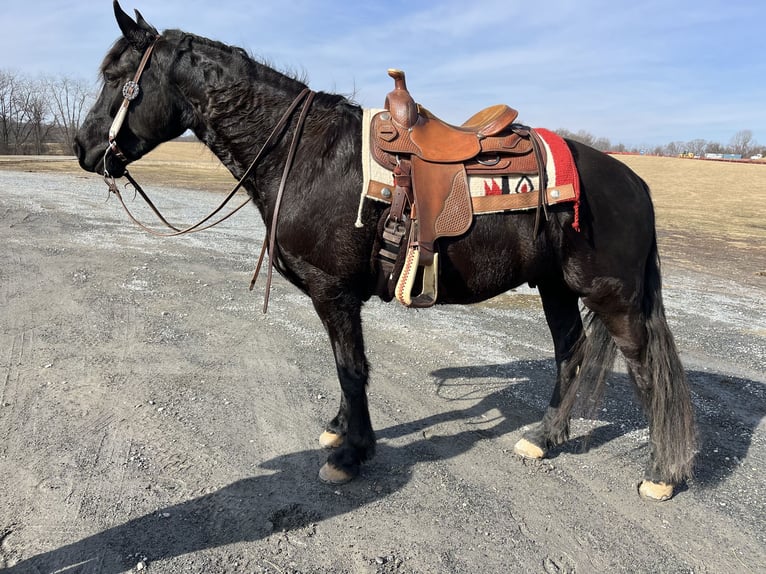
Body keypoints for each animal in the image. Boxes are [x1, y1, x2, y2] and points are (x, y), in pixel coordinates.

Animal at [75, 2, 700, 502]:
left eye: (118, 77)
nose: (83, 148)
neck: (307, 155)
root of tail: (634, 182)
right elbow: (344, 368)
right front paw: (339, 429)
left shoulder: (334, 292)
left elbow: (351, 368)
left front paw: (350, 455)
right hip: (555, 286)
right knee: (570, 352)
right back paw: (543, 439)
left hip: (612, 296)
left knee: (648, 372)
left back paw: (661, 474)